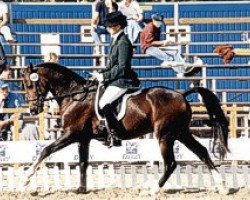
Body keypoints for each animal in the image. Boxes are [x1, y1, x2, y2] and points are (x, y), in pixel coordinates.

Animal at [22, 63, 229, 194]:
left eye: (31, 83)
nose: (33, 109)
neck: (75, 96)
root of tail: (181, 94)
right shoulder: (83, 138)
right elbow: (82, 163)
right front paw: (81, 190)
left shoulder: (71, 134)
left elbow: (45, 150)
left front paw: (26, 178)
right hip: (180, 133)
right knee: (202, 152)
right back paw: (222, 186)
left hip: (165, 135)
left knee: (170, 163)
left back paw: (152, 190)